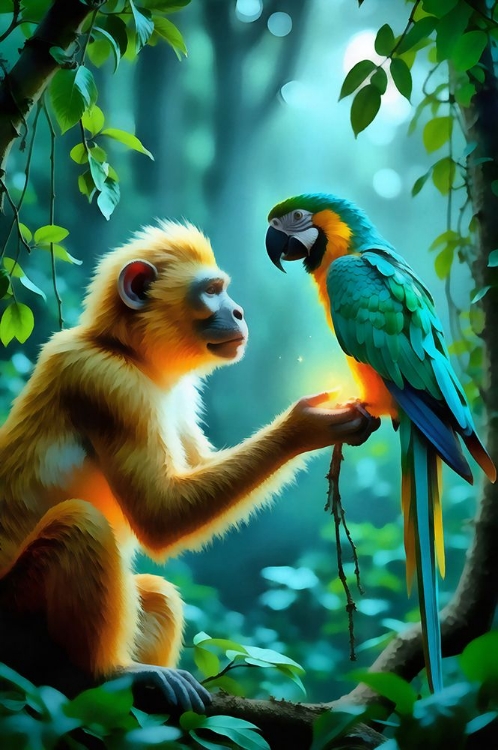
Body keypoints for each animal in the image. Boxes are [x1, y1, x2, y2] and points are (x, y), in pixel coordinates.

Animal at [0, 220, 378, 710]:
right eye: (212, 291)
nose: (238, 312)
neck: (127, 352)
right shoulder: (106, 382)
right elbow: (160, 514)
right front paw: (307, 426)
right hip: (16, 617)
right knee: (81, 524)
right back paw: (108, 673)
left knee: (157, 595)